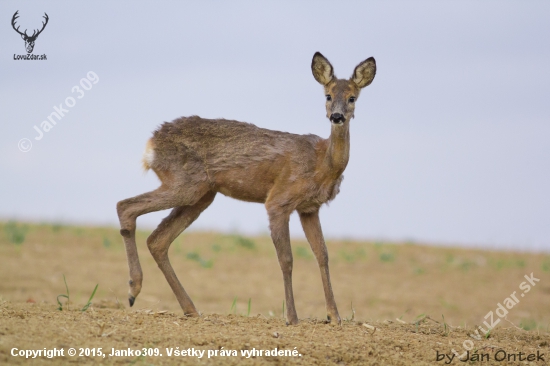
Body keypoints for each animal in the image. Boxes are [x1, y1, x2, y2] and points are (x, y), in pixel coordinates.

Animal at [116, 52, 376, 326]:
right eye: (327, 95)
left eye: (352, 97)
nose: (337, 116)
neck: (322, 163)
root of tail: (151, 143)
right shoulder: (278, 200)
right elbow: (286, 259)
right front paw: (292, 318)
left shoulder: (309, 208)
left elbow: (322, 255)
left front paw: (334, 316)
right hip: (183, 184)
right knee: (126, 206)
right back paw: (133, 289)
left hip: (201, 195)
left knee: (157, 239)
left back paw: (190, 309)